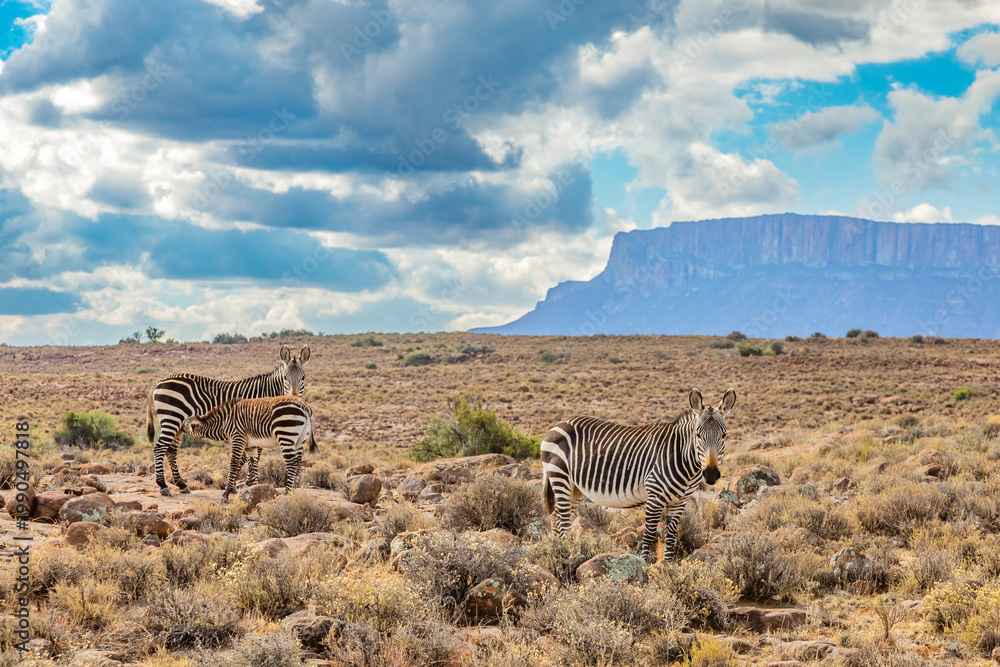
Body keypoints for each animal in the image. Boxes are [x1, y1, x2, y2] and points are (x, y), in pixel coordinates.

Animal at [182, 396, 315, 501]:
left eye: (187, 427)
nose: (180, 429)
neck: (225, 422)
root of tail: (304, 406)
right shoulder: (251, 446)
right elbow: (253, 465)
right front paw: (255, 489)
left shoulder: (238, 438)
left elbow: (234, 464)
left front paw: (226, 493)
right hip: (300, 439)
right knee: (298, 463)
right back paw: (294, 492)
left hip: (285, 434)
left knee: (291, 464)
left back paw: (287, 493)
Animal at [541, 388, 736, 563]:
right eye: (698, 435)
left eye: (724, 435)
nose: (711, 474)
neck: (684, 460)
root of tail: (558, 424)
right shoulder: (655, 496)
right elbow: (649, 534)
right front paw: (644, 565)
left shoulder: (679, 501)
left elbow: (671, 536)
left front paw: (668, 566)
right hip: (560, 477)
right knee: (562, 520)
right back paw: (565, 552)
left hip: (574, 488)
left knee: (556, 516)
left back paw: (558, 548)